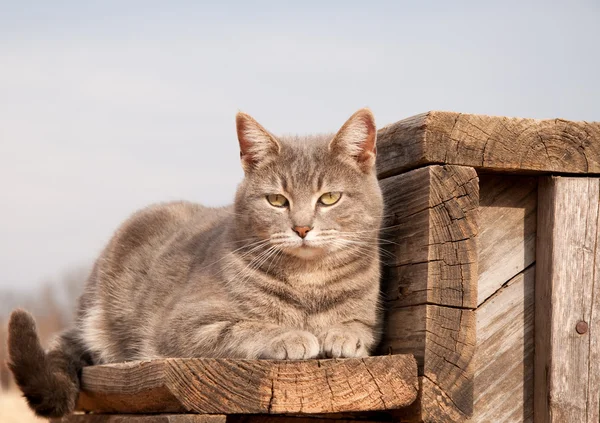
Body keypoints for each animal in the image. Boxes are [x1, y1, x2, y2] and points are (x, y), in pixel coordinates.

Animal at [5, 107, 384, 420]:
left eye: (329, 198)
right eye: (277, 200)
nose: (302, 228)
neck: (308, 281)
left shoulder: (368, 316)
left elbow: (358, 325)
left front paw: (344, 335)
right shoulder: (185, 326)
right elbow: (248, 328)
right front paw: (291, 336)